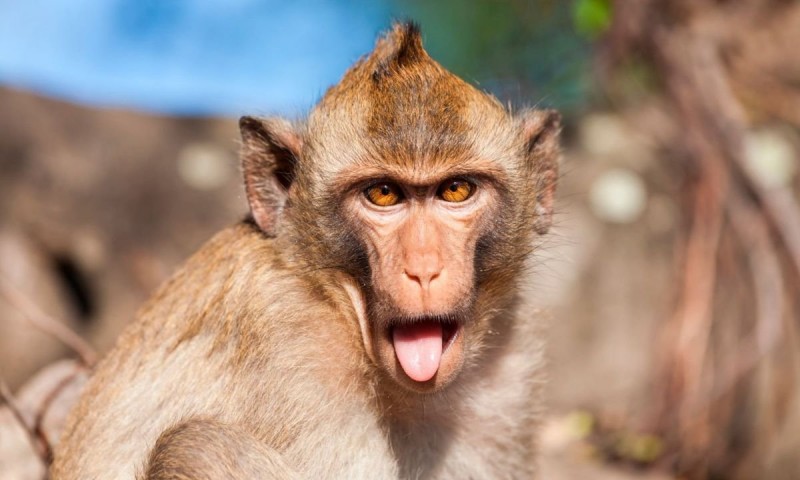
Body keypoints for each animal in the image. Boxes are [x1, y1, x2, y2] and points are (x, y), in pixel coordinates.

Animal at [50, 22, 560, 479]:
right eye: (383, 195)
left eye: (456, 190)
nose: (424, 269)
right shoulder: (291, 347)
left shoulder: (505, 376)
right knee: (197, 446)